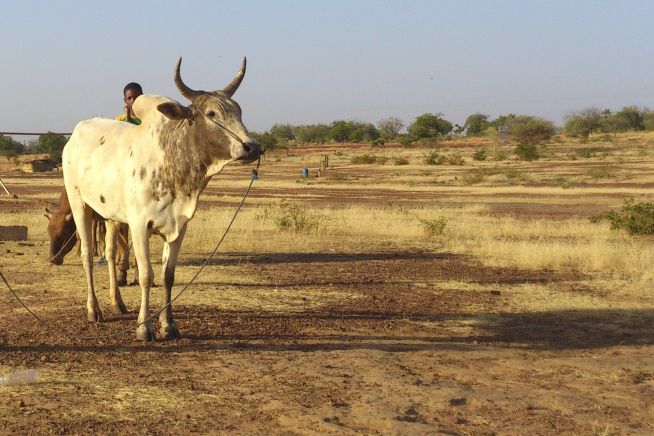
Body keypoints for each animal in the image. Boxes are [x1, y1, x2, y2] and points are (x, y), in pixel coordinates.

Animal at [63, 58, 262, 340]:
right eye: (212, 114)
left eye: (239, 112)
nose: (252, 147)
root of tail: (75, 135)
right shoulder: (139, 225)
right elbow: (146, 275)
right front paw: (144, 328)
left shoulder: (179, 227)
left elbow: (168, 276)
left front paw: (169, 325)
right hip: (79, 204)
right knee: (87, 255)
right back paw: (94, 310)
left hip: (111, 216)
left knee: (110, 254)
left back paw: (117, 303)